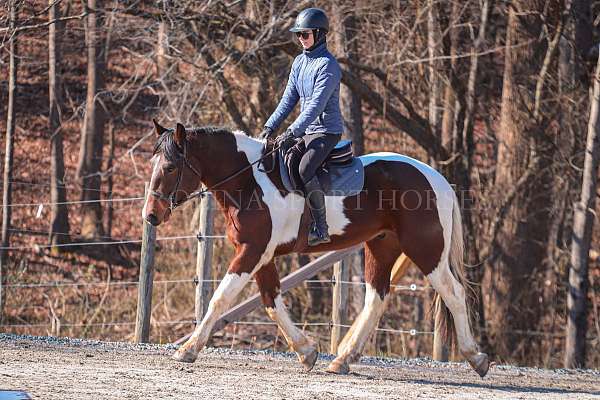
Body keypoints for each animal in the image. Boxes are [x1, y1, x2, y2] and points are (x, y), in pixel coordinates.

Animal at [143, 120, 490, 376]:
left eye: (171, 167)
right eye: (153, 163)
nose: (151, 215)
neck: (249, 181)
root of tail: (437, 178)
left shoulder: (251, 252)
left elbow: (220, 298)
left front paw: (188, 349)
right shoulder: (263, 255)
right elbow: (271, 301)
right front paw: (307, 351)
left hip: (427, 251)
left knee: (454, 293)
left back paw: (477, 358)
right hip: (382, 246)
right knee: (377, 297)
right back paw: (343, 360)